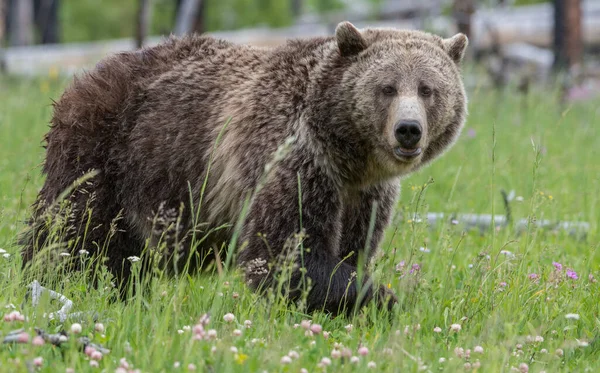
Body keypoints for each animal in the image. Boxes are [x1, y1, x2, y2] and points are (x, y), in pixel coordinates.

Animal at [22, 21, 468, 314]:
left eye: (428, 89)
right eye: (387, 87)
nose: (408, 130)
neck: (345, 153)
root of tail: (83, 77)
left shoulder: (363, 194)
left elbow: (351, 249)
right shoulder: (289, 158)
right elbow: (287, 254)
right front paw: (381, 298)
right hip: (107, 153)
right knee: (72, 232)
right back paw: (45, 280)